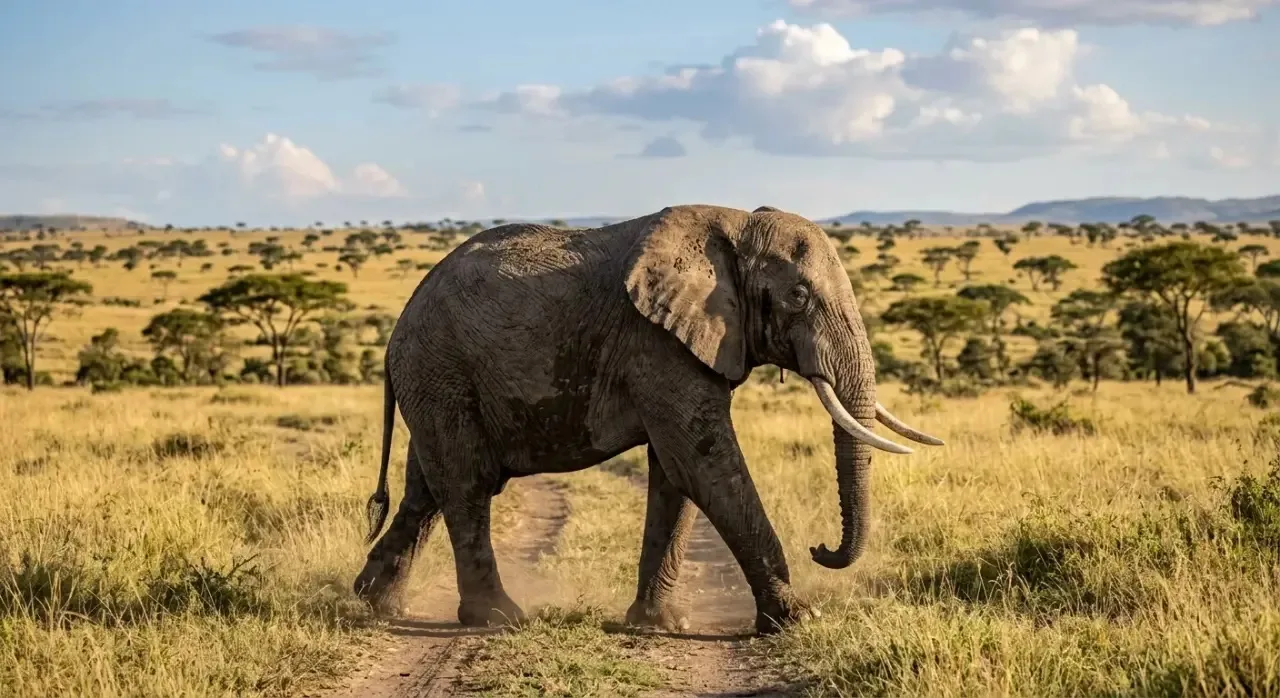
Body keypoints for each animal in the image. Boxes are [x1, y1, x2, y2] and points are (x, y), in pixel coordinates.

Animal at [352, 204, 944, 636]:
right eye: (798, 296)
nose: (821, 549)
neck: (735, 226)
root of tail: (398, 324)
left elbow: (675, 476)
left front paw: (659, 625)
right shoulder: (658, 344)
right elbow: (702, 462)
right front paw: (797, 619)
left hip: (436, 381)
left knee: (426, 489)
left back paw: (376, 605)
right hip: (442, 370)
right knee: (466, 483)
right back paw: (498, 619)